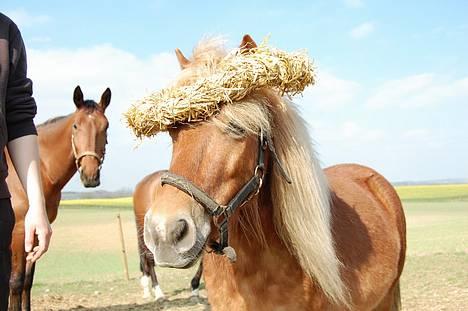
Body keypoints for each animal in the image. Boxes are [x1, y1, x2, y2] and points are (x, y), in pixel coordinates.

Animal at [7, 86, 110, 311]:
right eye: (75, 125)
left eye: (105, 126)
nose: (90, 176)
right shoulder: (18, 232)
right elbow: (15, 282)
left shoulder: (36, 232)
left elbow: (27, 281)